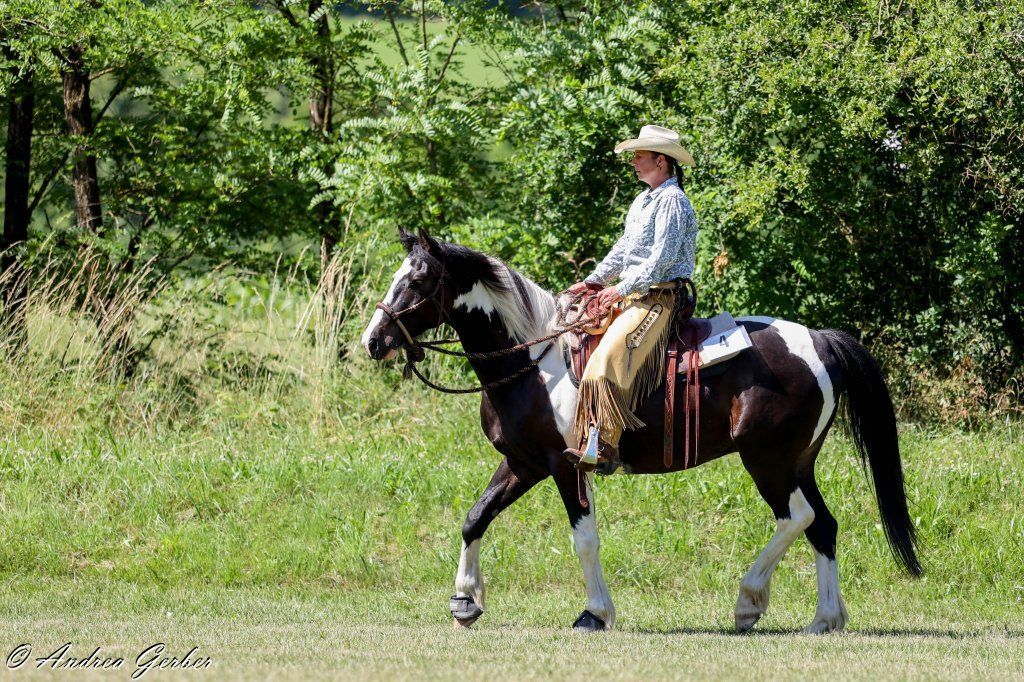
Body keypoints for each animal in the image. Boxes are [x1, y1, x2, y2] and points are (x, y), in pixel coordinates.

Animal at [360, 228, 921, 634]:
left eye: (416, 282)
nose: (373, 340)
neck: (533, 361)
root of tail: (820, 340)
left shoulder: (566, 466)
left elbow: (584, 539)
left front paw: (595, 613)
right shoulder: (523, 462)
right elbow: (475, 518)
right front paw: (464, 601)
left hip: (769, 460)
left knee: (797, 518)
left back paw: (748, 603)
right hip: (799, 462)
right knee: (823, 525)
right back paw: (824, 619)